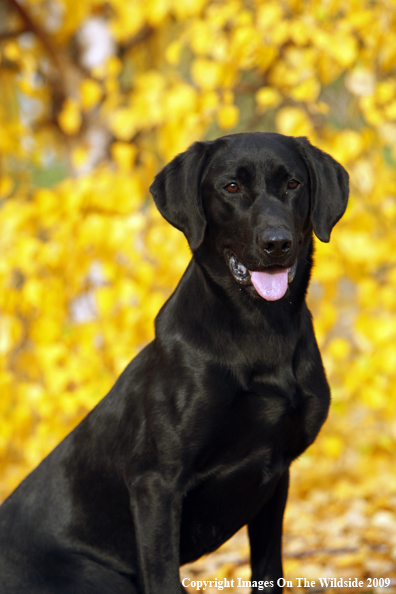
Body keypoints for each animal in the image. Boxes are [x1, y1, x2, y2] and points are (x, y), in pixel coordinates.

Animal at [0, 132, 346, 588]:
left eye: (292, 184)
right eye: (231, 187)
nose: (277, 243)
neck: (260, 329)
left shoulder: (277, 473)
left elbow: (269, 571)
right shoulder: (156, 484)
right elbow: (165, 580)